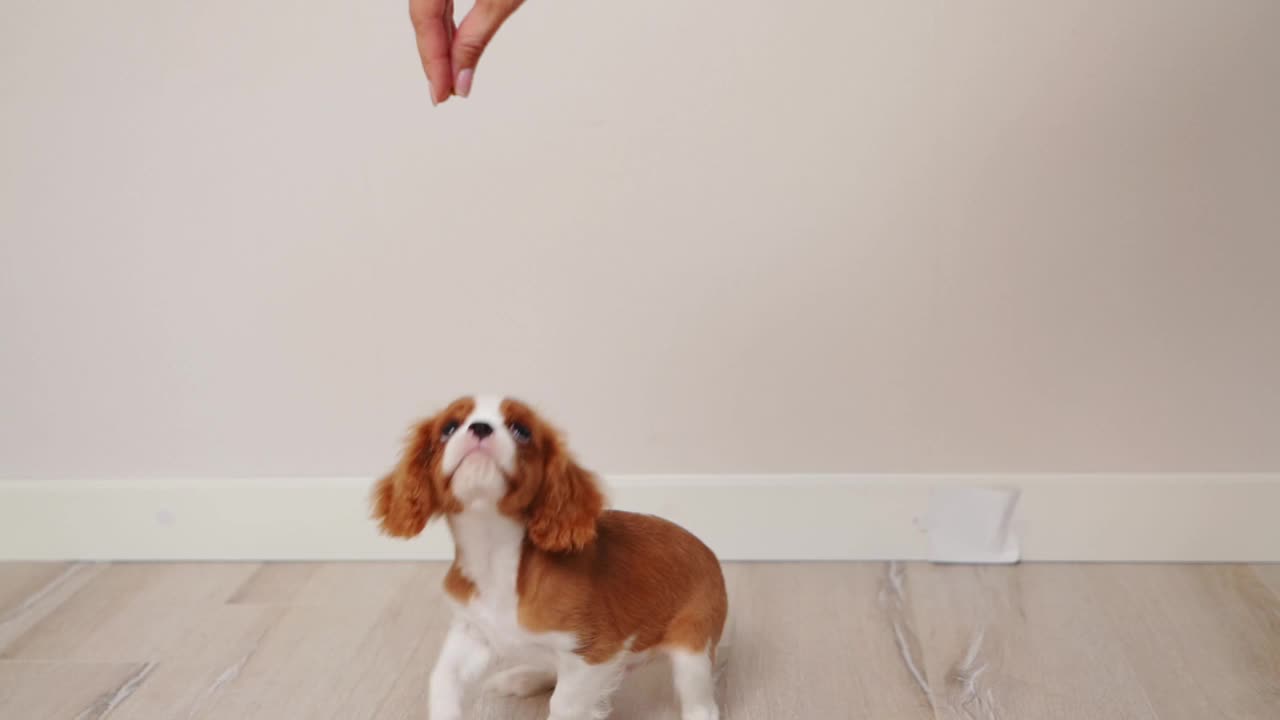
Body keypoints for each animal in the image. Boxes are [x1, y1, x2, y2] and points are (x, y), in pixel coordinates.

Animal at [373, 394, 727, 712]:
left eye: (521, 429)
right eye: (449, 427)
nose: (480, 428)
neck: (495, 553)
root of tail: (709, 552)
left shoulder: (597, 653)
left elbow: (564, 704)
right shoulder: (472, 632)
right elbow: (442, 679)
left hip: (692, 650)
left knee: (702, 705)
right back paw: (523, 677)